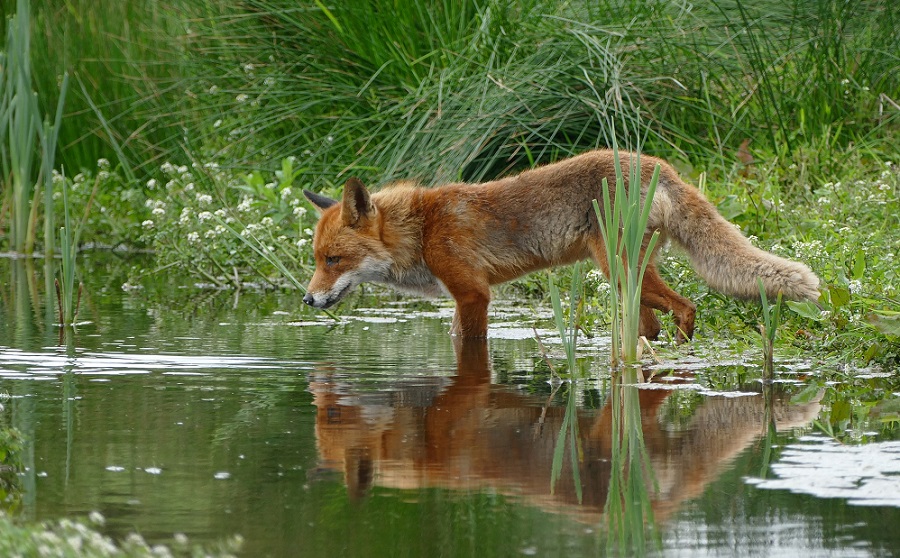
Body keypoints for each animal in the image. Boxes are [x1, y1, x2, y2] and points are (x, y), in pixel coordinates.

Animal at [304, 150, 824, 342]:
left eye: (334, 260)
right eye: (316, 260)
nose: (307, 299)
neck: (422, 229)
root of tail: (659, 164)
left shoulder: (473, 295)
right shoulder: (463, 297)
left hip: (619, 269)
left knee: (688, 306)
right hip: (629, 280)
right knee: (653, 324)